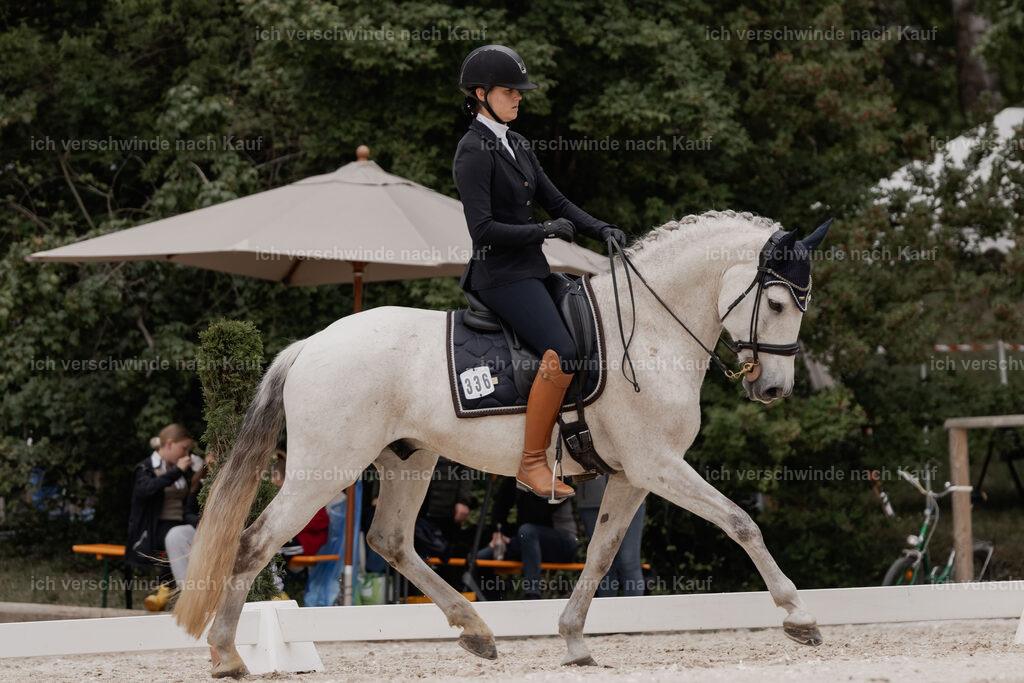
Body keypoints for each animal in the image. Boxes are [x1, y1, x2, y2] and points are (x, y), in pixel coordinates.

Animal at [174, 209, 832, 677]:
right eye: (777, 302)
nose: (773, 389)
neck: (649, 329)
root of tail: (310, 344)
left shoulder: (631, 474)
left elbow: (599, 554)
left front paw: (574, 641)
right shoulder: (659, 464)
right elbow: (741, 521)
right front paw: (799, 617)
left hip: (410, 459)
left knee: (390, 540)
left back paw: (476, 631)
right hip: (325, 469)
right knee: (254, 542)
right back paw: (229, 656)